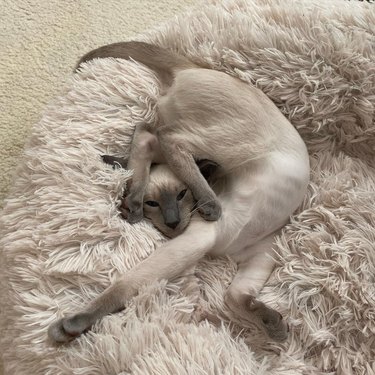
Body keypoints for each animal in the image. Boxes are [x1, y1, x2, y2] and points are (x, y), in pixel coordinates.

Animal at [47, 41, 312, 344]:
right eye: (156, 205)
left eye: (181, 197)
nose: (173, 222)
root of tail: (191, 67)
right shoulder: (199, 241)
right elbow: (124, 284)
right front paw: (73, 324)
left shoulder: (261, 252)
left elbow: (235, 296)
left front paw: (272, 324)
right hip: (231, 143)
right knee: (163, 137)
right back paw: (196, 203)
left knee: (149, 135)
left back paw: (130, 194)